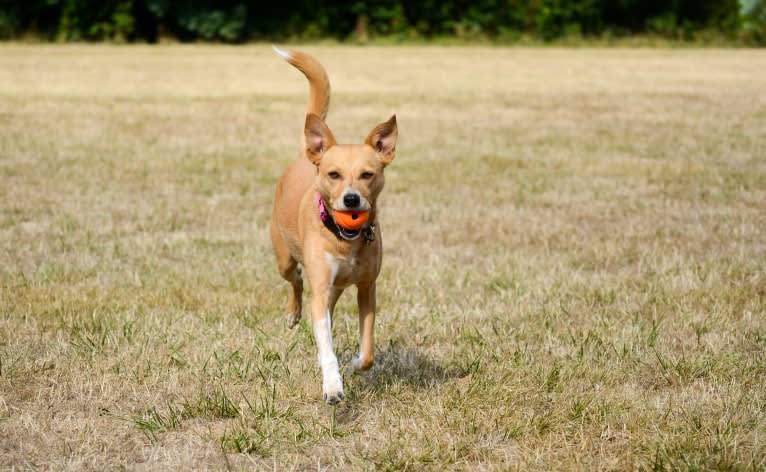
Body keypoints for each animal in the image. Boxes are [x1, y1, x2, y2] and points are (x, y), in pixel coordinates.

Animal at [270, 46, 400, 404]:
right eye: (334, 174)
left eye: (368, 174)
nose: (352, 200)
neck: (345, 239)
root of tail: (307, 155)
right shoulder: (321, 283)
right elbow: (326, 346)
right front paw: (333, 386)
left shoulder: (367, 286)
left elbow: (367, 348)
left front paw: (356, 362)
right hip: (285, 257)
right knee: (296, 281)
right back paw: (292, 314)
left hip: (338, 286)